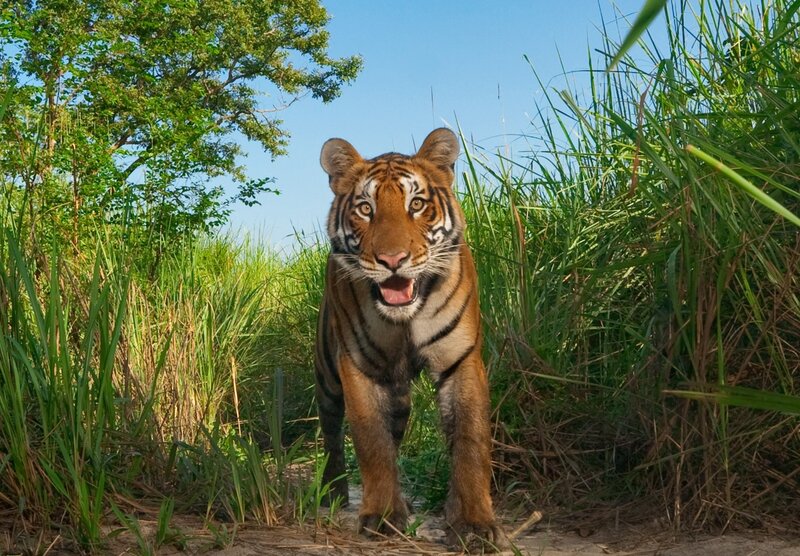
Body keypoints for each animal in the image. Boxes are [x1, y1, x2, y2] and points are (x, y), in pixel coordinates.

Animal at [314, 128, 502, 552]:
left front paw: (473, 523)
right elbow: (371, 443)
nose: (392, 260)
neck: (405, 320)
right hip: (328, 376)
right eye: (365, 208)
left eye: (416, 204)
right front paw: (383, 516)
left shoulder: (461, 361)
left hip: (398, 396)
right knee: (331, 432)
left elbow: (470, 443)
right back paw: (332, 492)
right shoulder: (358, 368)